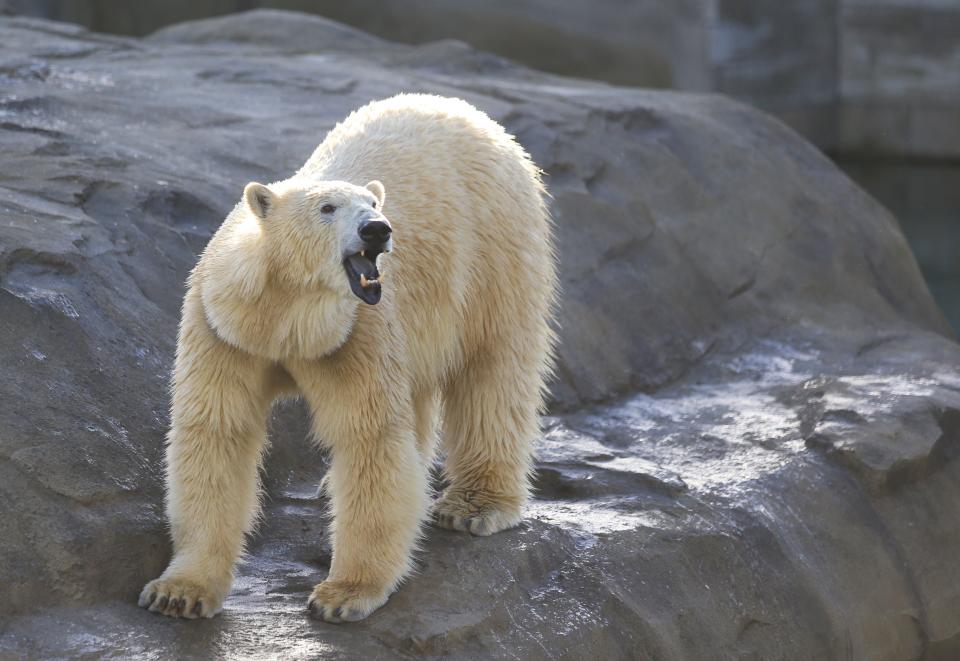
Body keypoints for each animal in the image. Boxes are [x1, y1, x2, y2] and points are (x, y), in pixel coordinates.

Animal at [135, 94, 556, 624]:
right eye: (327, 207)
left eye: (372, 204)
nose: (377, 229)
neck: (286, 318)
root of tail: (463, 109)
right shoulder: (225, 330)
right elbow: (217, 431)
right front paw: (178, 592)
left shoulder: (355, 333)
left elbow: (369, 439)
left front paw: (343, 595)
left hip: (495, 248)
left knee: (493, 369)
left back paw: (473, 506)